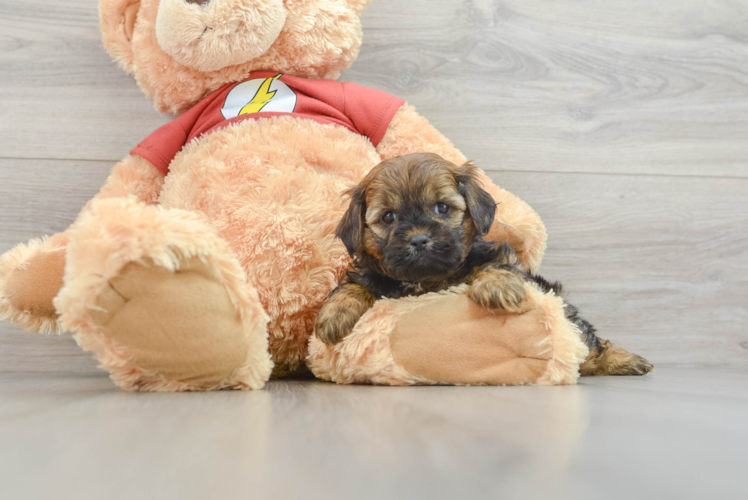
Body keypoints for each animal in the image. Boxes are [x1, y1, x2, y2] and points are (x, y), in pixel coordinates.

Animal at [316, 152, 656, 376]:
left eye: (442, 208)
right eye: (388, 217)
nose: (419, 239)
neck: (428, 280)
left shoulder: (494, 258)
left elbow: (497, 267)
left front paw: (496, 289)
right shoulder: (372, 275)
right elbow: (352, 286)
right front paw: (334, 314)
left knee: (588, 340)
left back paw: (621, 360)